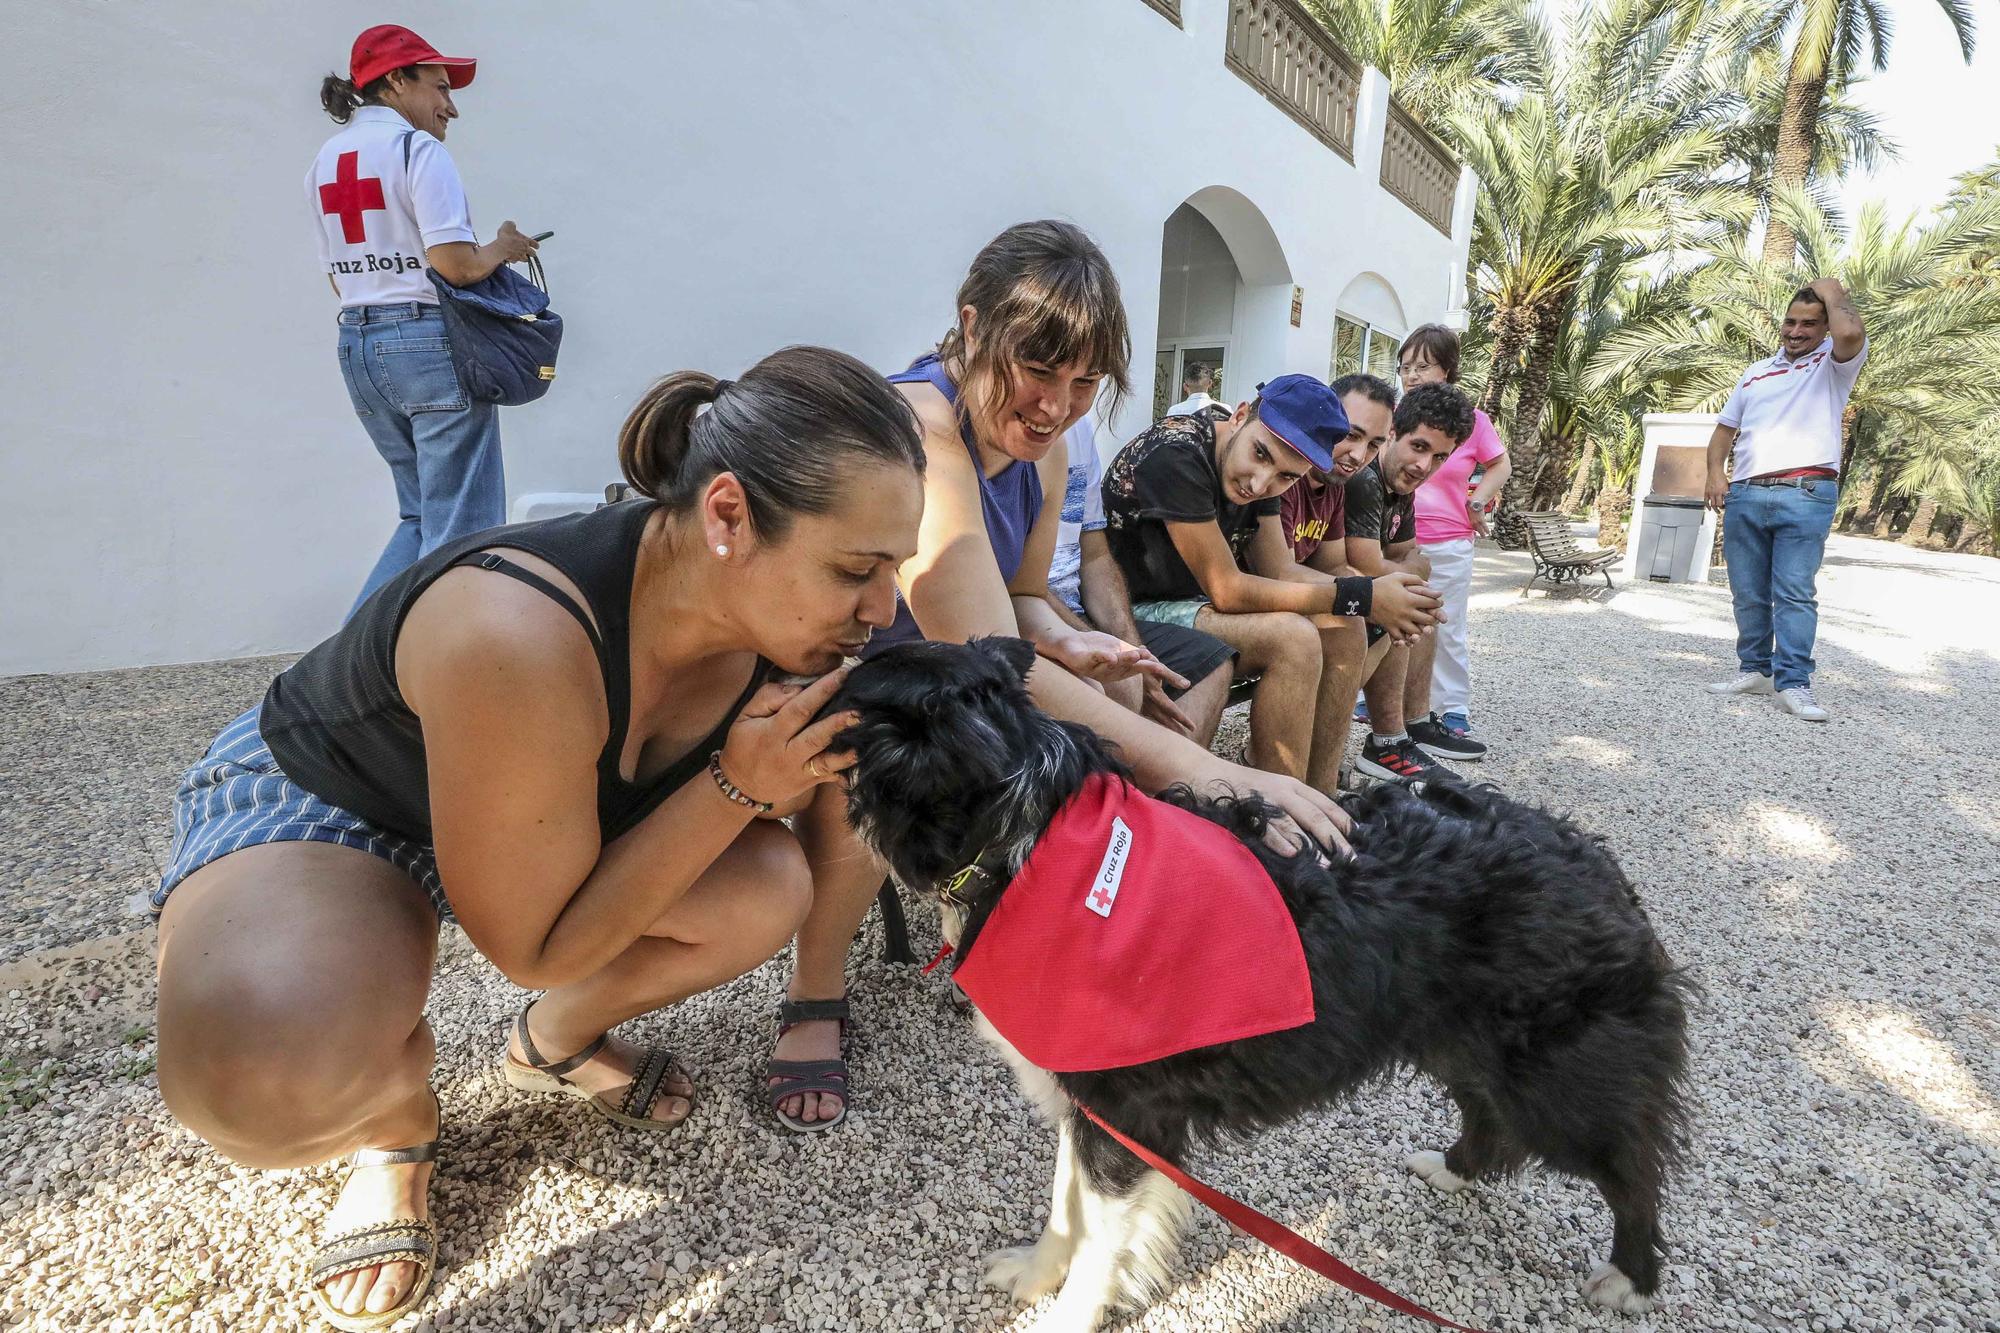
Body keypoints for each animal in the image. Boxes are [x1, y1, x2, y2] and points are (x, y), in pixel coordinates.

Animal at [824, 640, 1688, 1320]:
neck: (1027, 844)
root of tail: (1597, 860)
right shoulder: (1085, 1093)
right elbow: (1066, 1209)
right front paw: (1037, 1274)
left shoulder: (1127, 1107)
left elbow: (1099, 1236)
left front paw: (1069, 1312)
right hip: (1460, 1039)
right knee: (1490, 1117)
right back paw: (1453, 1168)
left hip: (1555, 1077)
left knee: (1632, 1163)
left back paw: (1631, 1276)